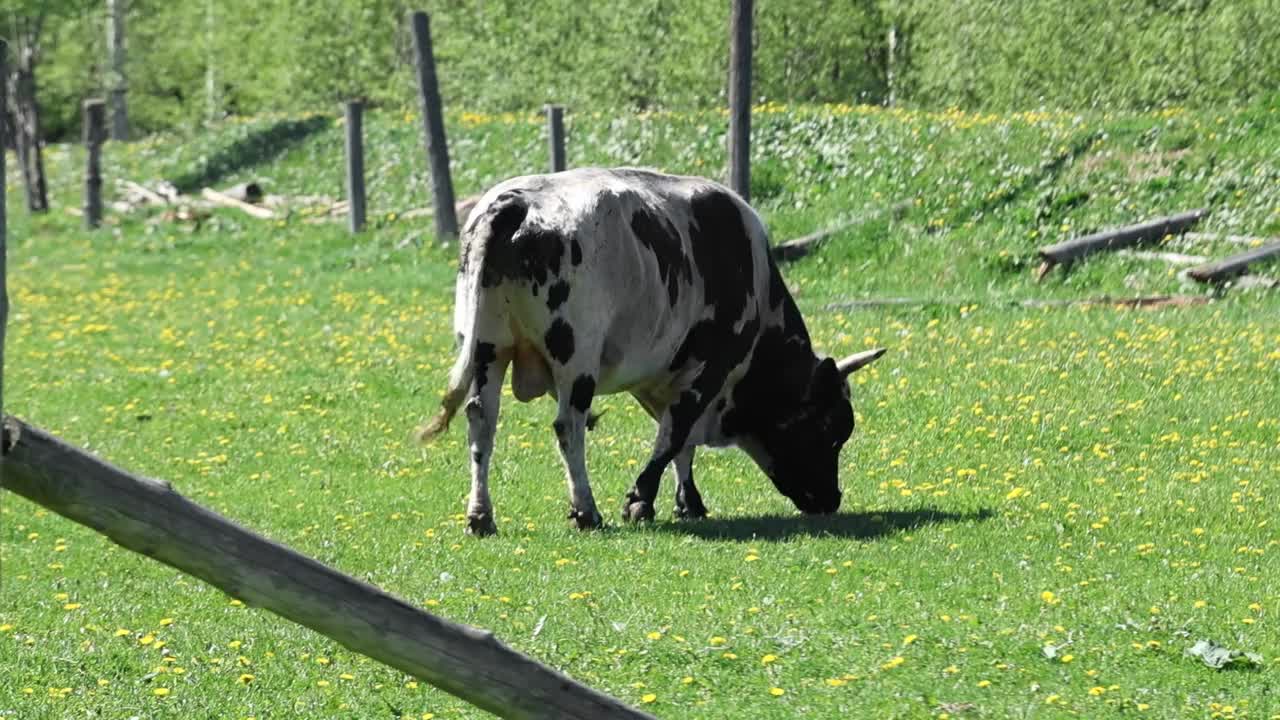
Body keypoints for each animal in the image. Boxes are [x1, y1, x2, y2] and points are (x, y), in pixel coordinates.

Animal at [419, 165, 880, 530]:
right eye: (831, 429)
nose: (832, 500)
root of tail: (513, 205)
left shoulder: (665, 375)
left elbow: (680, 441)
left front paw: (686, 502)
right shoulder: (711, 364)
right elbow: (674, 434)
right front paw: (641, 500)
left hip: (487, 348)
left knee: (482, 419)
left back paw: (481, 515)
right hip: (574, 359)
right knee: (568, 425)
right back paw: (586, 511)